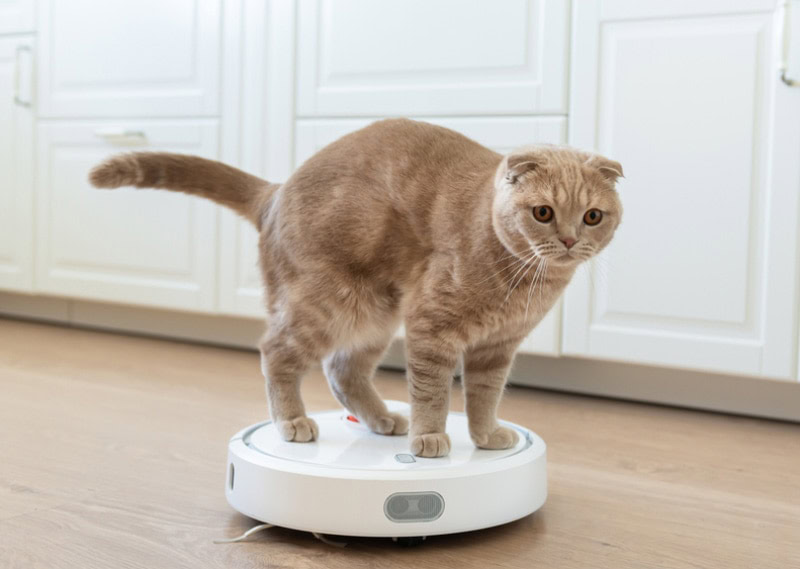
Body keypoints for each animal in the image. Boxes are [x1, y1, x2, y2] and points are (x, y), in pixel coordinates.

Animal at [90, 118, 620, 458]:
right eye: (543, 213)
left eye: (593, 216)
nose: (569, 239)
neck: (524, 280)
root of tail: (276, 190)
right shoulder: (432, 329)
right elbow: (433, 393)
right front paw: (430, 439)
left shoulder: (497, 348)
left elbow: (484, 397)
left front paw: (486, 436)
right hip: (329, 305)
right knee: (275, 353)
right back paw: (292, 421)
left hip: (374, 315)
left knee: (342, 371)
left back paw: (382, 418)